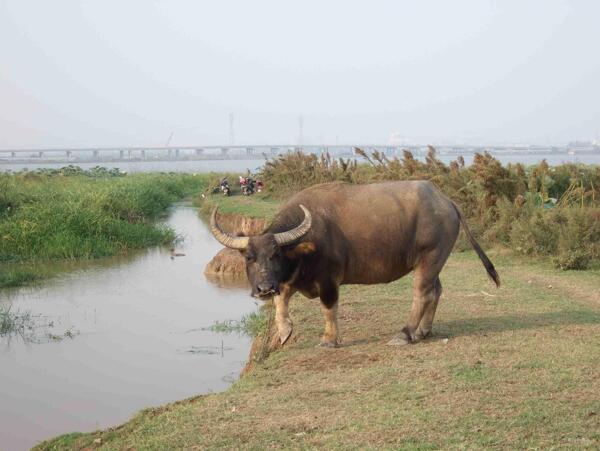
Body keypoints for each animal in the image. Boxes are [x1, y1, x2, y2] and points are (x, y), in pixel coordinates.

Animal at [209, 182, 500, 348]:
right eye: (249, 257)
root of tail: (446, 201)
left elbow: (328, 309)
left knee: (422, 294)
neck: (306, 241)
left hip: (431, 256)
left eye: (275, 255)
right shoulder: (291, 279)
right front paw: (283, 333)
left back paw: (405, 334)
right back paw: (423, 331)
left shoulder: (328, 280)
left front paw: (329, 340)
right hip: (432, 261)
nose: (263, 288)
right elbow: (281, 302)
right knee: (436, 290)